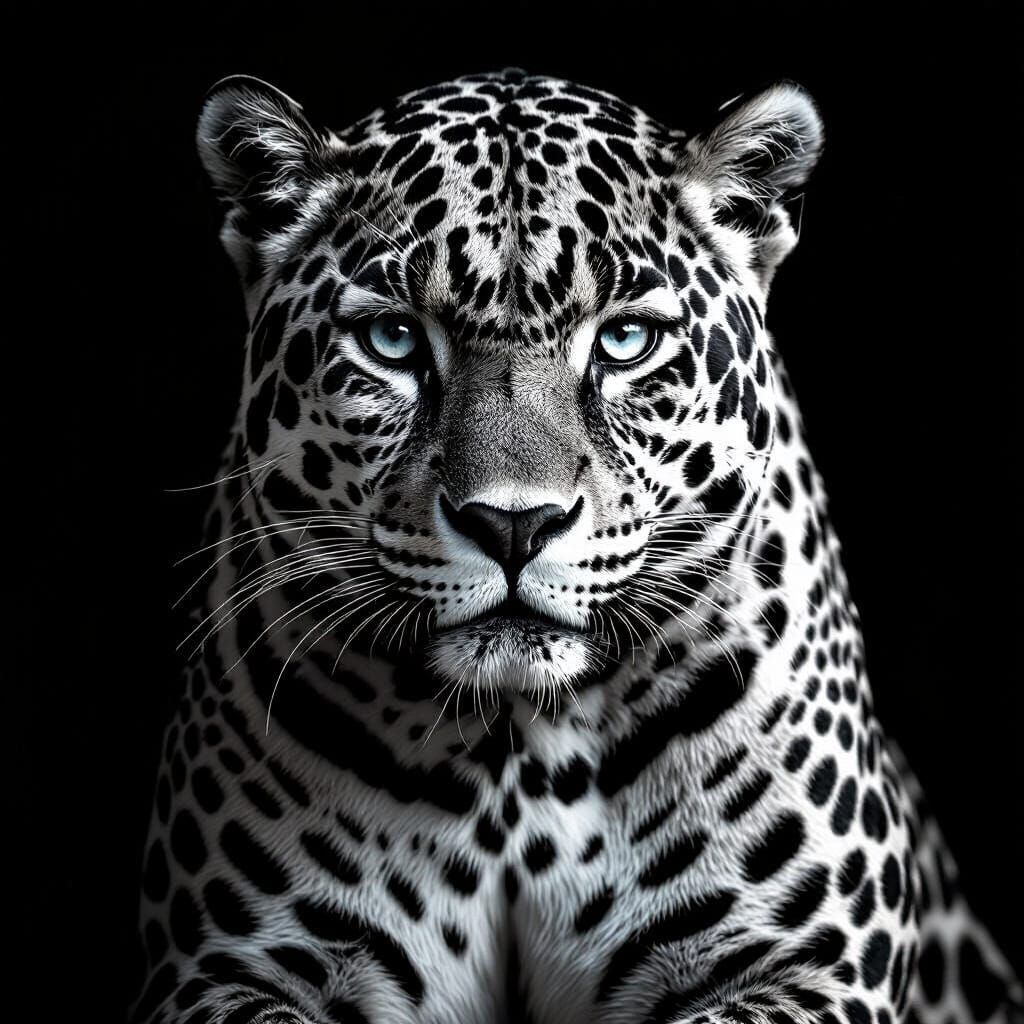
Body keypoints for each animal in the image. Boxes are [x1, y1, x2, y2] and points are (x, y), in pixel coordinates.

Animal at [131, 68, 1023, 1024]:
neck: (515, 754)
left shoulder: (807, 966)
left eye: (627, 340)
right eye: (393, 340)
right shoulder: (229, 963)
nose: (514, 525)